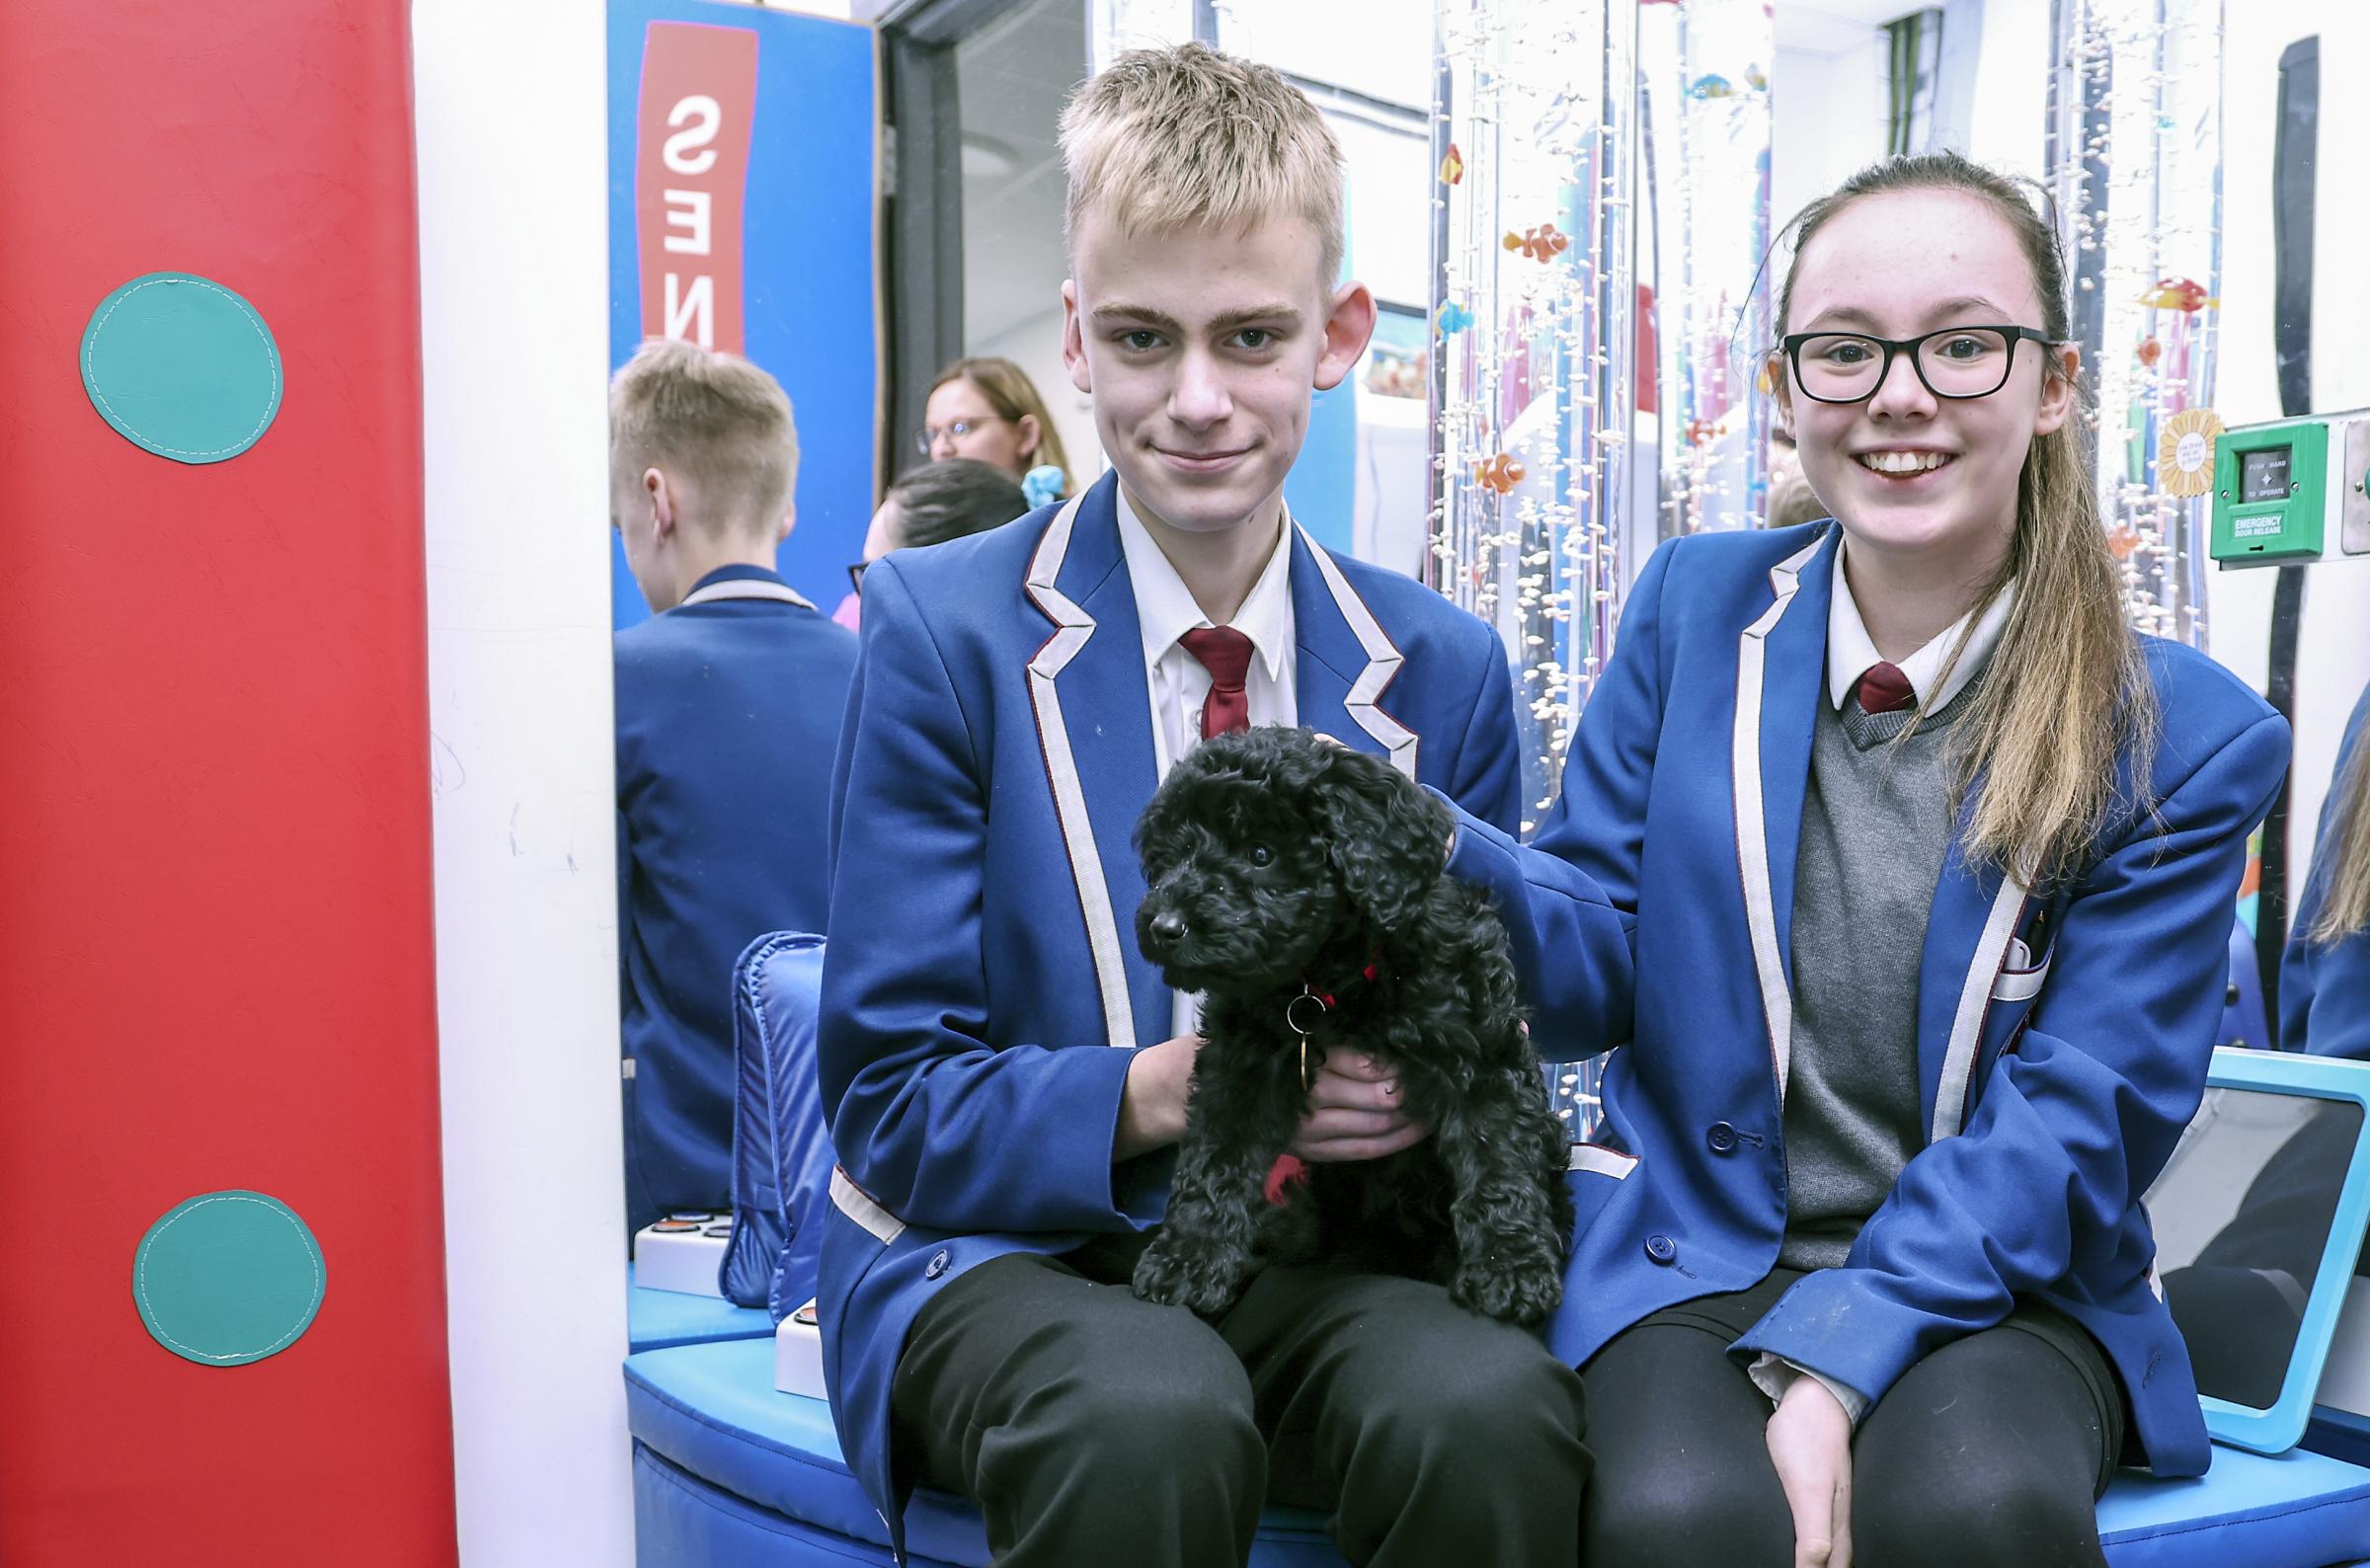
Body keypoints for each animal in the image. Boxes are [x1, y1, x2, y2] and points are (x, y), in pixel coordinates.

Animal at [1128, 725, 1573, 1326]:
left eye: (1261, 853)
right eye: (1171, 857)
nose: (1164, 926)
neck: (1331, 980)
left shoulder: (1482, 1058)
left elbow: (1498, 1160)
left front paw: (1511, 1267)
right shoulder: (1240, 1068)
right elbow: (1214, 1160)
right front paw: (1188, 1259)